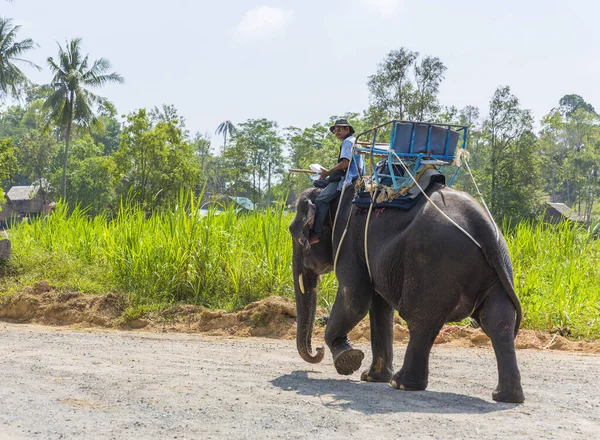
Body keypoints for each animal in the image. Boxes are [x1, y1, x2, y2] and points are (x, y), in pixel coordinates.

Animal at [290, 182, 524, 402]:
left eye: (296, 235)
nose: (317, 350)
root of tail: (483, 226)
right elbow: (379, 307)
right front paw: (371, 377)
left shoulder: (347, 239)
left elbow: (355, 298)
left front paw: (349, 359)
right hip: (497, 267)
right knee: (498, 322)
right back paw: (506, 397)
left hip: (433, 265)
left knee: (421, 322)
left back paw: (401, 383)